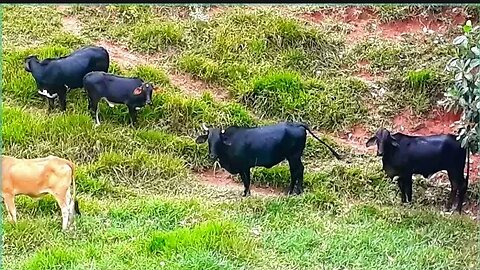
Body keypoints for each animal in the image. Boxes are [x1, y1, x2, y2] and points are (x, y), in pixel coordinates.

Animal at [194, 122, 342, 196]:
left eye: (219, 140)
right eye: (209, 140)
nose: (212, 155)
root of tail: (298, 124)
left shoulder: (244, 167)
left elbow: (246, 181)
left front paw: (246, 194)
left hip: (294, 156)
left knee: (298, 171)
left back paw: (295, 191)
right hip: (293, 157)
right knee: (297, 171)